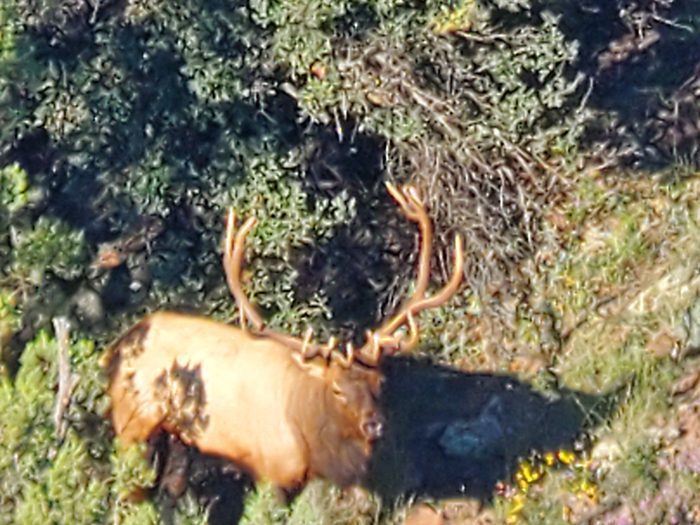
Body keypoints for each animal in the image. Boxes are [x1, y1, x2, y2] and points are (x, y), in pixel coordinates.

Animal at [102, 183, 464, 498]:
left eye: (380, 381)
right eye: (336, 389)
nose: (374, 425)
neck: (310, 441)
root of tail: (116, 348)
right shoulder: (270, 470)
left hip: (177, 438)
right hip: (131, 424)